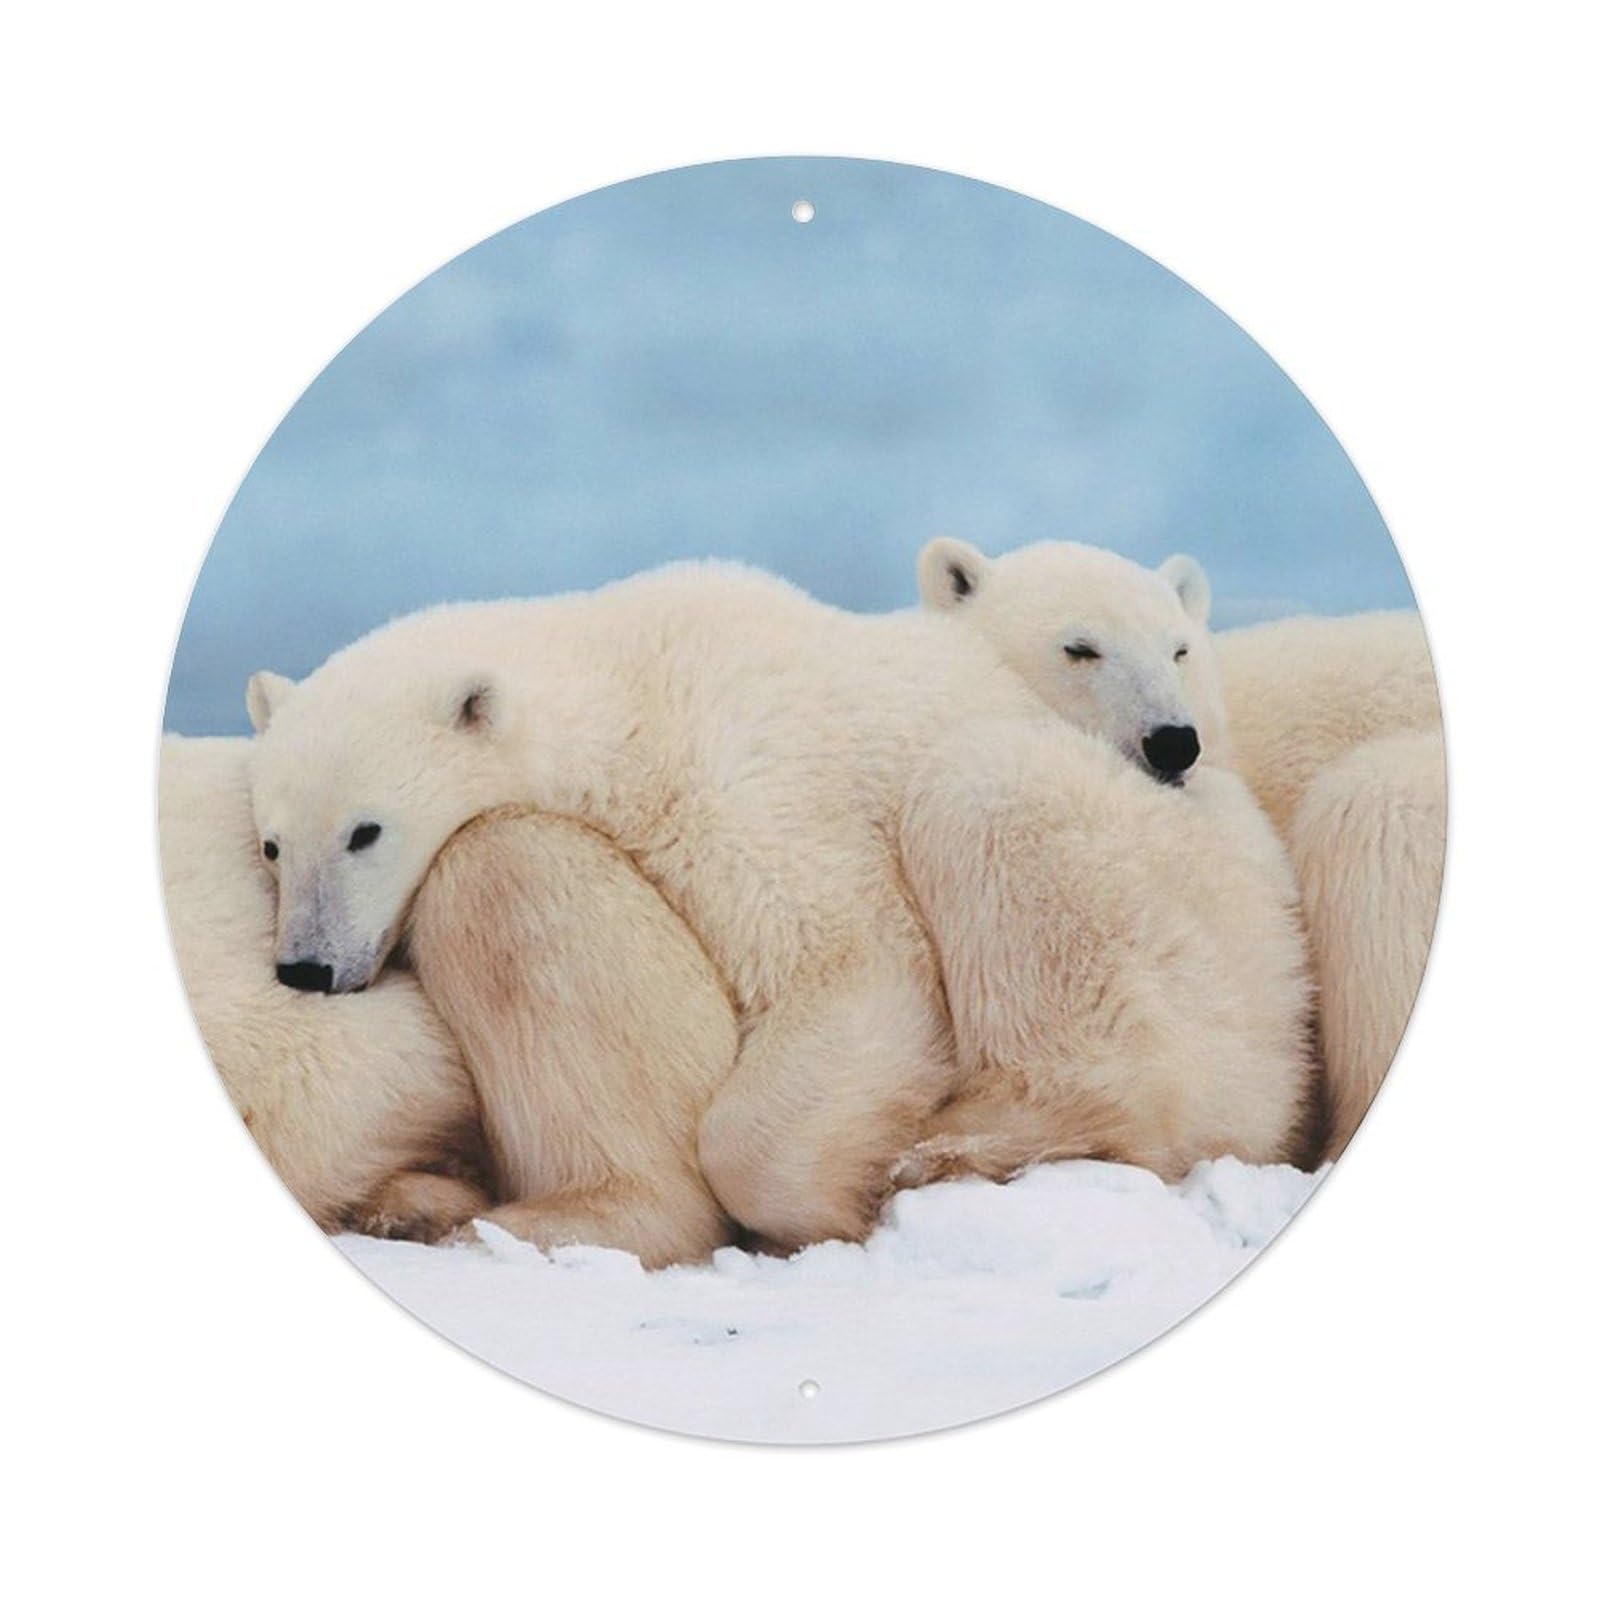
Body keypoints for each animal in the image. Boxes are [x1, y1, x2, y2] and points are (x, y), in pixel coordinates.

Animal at [244, 559, 1318, 1249]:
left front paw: (834, 1203)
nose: (308, 967)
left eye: (365, 831)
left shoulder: (742, 777)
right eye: (272, 842)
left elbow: (850, 964)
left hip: (1172, 895)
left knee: (991, 804)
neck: (629, 684)